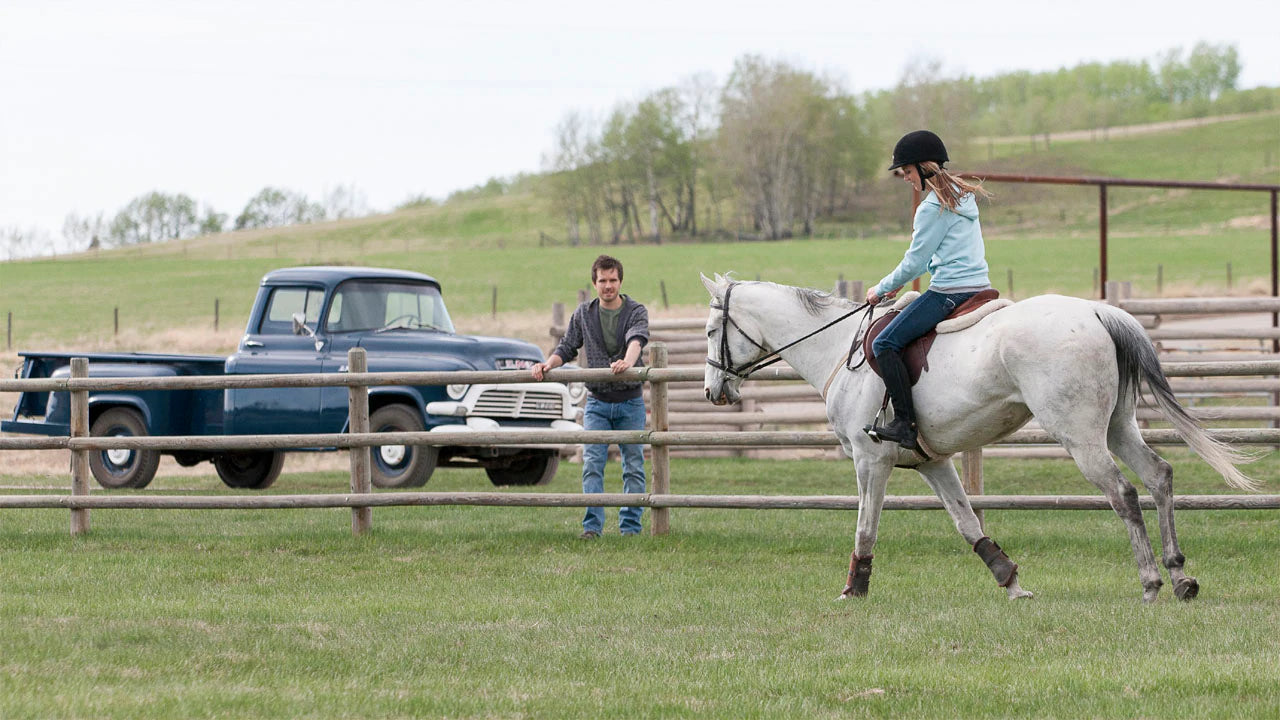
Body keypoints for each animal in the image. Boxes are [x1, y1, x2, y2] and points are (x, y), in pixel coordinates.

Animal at [701, 274, 1249, 599]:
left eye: (710, 331)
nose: (712, 390)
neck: (838, 347)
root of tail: (1097, 312)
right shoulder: (932, 462)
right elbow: (967, 523)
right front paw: (1010, 581)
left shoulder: (869, 461)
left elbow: (865, 527)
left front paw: (854, 589)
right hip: (1117, 427)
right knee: (1159, 477)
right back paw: (1180, 576)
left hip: (1080, 436)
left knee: (1124, 494)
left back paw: (1151, 581)